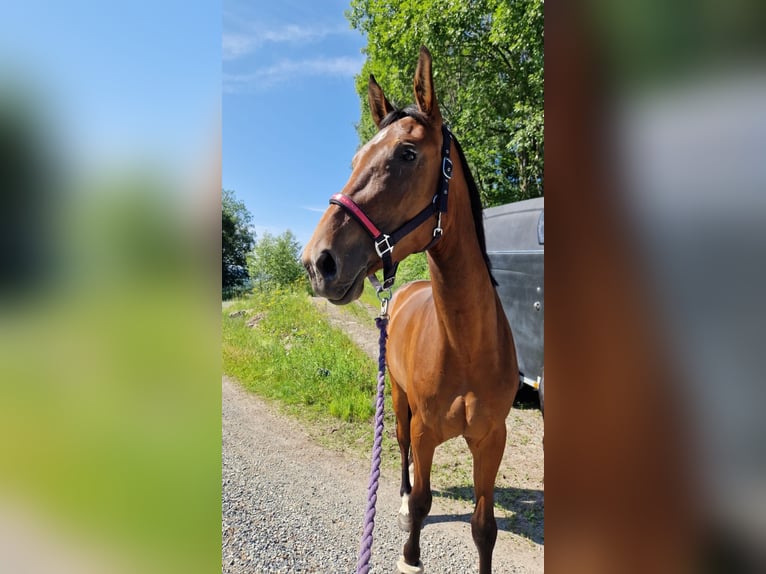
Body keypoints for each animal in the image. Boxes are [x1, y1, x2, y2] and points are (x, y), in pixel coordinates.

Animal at [304, 46, 520, 574]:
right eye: (355, 159)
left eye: (406, 153)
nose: (318, 262)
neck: (467, 346)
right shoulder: (424, 432)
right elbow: (421, 507)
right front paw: (408, 535)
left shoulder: (492, 440)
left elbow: (485, 529)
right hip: (399, 402)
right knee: (399, 452)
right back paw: (399, 494)